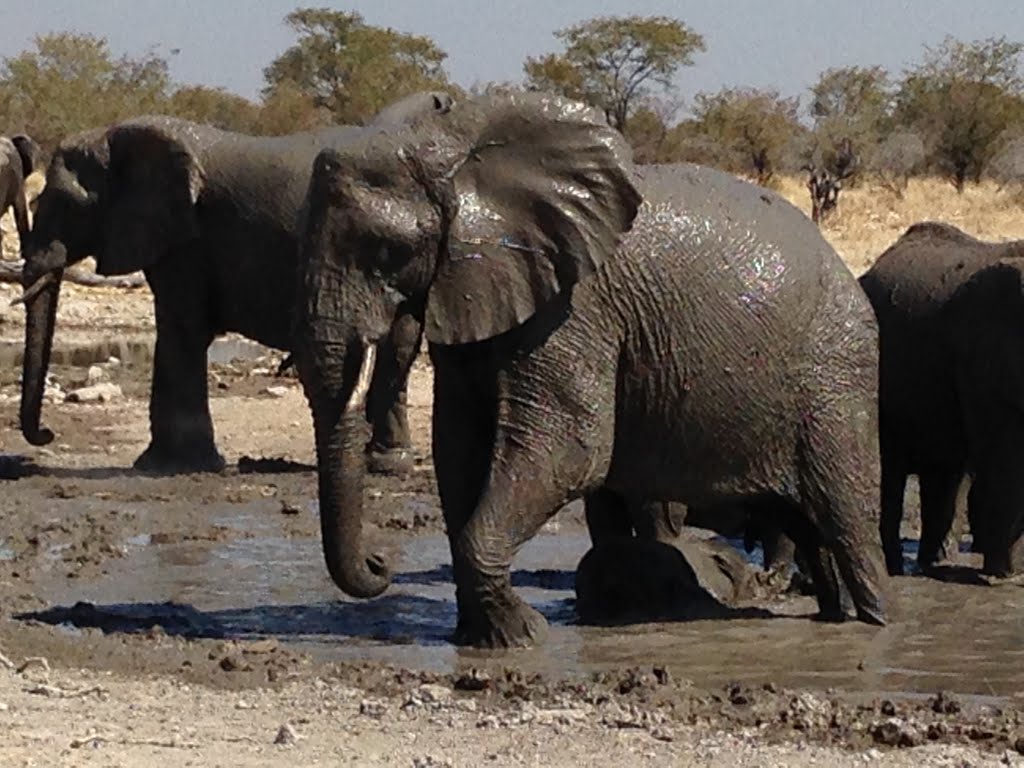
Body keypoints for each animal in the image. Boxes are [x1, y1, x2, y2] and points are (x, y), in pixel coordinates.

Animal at [17, 90, 452, 475]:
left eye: (65, 205)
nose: (47, 434)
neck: (115, 135)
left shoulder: (189, 240)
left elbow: (181, 330)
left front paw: (172, 467)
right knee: (400, 343)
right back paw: (386, 464)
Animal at [292, 88, 892, 651]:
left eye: (384, 250)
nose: (380, 564)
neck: (460, 147)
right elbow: (459, 449)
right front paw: (482, 639)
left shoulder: (575, 309)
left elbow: (569, 452)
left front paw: (523, 637)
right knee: (808, 528)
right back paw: (834, 621)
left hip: (836, 377)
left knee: (848, 520)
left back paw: (880, 626)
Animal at [860, 221, 1024, 577]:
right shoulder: (984, 354)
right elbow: (1002, 450)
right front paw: (1004, 575)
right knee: (892, 466)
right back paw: (897, 567)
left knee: (946, 469)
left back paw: (937, 563)